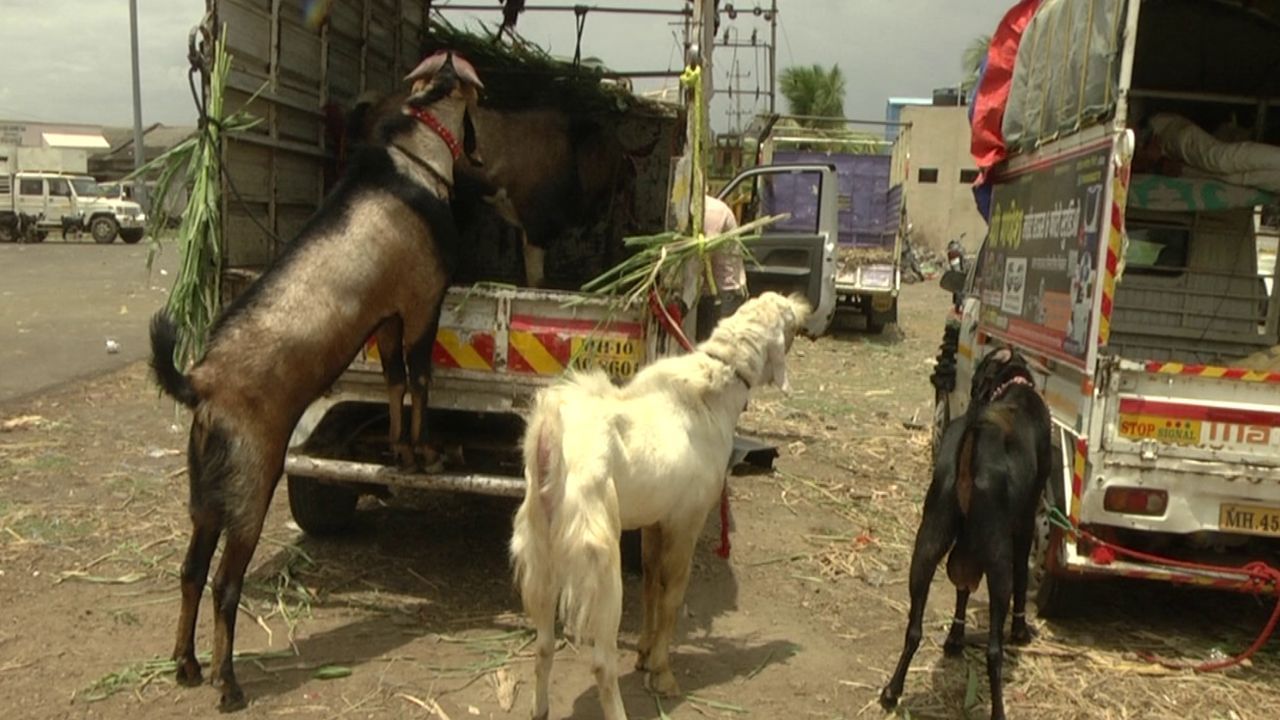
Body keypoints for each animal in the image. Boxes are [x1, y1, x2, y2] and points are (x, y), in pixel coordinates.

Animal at [146, 49, 483, 707]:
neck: (414, 158)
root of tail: (203, 384)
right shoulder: (422, 304)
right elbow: (422, 380)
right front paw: (428, 454)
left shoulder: (387, 320)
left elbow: (395, 383)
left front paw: (402, 453)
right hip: (251, 483)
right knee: (225, 583)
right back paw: (227, 684)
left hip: (205, 491)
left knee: (191, 571)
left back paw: (186, 664)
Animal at [509, 288, 808, 712]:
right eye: (787, 318)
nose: (804, 307)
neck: (712, 396)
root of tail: (551, 429)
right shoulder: (687, 519)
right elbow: (672, 594)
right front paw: (662, 673)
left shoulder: (654, 520)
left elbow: (651, 583)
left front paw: (645, 653)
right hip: (597, 553)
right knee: (600, 662)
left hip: (539, 542)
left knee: (543, 646)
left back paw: (541, 709)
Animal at [880, 345, 1049, 717]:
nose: (970, 390)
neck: (1013, 387)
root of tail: (977, 433)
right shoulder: (1024, 523)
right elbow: (1020, 577)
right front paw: (1020, 629)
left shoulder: (967, 547)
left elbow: (963, 587)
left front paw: (955, 638)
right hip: (998, 560)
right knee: (993, 651)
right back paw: (998, 709)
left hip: (928, 542)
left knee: (913, 629)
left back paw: (892, 690)